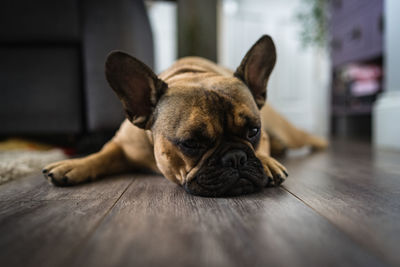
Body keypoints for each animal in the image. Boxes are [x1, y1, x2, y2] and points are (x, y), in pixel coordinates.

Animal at [42, 35, 326, 197]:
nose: (236, 158)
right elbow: (101, 155)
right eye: (191, 143)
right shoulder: (121, 146)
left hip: (289, 131)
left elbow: (262, 149)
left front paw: (267, 162)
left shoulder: (263, 133)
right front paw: (73, 165)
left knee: (305, 138)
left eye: (253, 131)